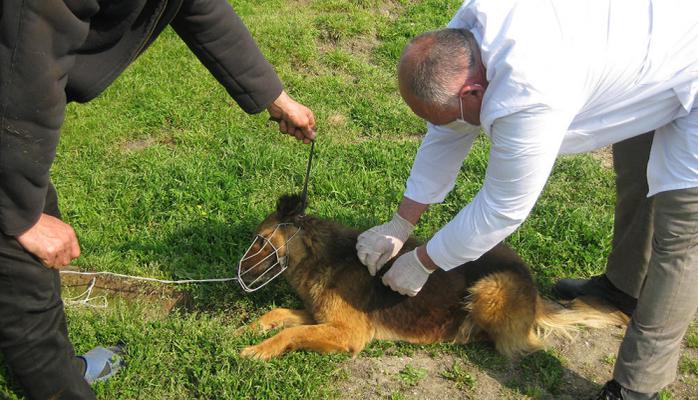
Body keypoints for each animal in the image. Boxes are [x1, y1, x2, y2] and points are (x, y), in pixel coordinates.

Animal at [239, 194, 624, 360]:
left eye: (258, 241)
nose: (239, 275)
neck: (320, 255)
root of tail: (531, 288)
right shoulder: (321, 316)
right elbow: (280, 315)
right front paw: (250, 329)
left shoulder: (349, 332)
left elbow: (292, 333)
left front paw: (259, 349)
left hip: (490, 288)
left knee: (512, 342)